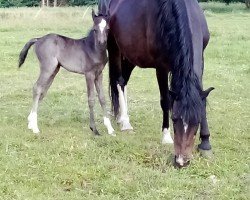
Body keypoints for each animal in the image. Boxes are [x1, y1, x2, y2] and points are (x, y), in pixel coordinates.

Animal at [99, 0, 215, 166]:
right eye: (174, 119)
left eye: (196, 122)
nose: (181, 161)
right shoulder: (161, 67)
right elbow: (165, 101)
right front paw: (166, 136)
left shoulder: (201, 60)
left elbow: (202, 101)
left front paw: (205, 143)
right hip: (114, 48)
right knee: (119, 82)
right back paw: (126, 122)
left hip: (131, 55)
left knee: (124, 81)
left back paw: (121, 117)